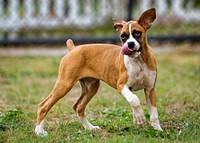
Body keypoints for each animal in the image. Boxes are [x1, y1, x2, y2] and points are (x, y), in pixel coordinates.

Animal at [35, 7, 162, 136]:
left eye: (137, 33)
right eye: (123, 36)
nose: (130, 44)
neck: (139, 60)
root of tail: (74, 48)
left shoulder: (150, 89)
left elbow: (154, 112)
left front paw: (157, 129)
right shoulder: (122, 86)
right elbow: (134, 99)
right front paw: (139, 119)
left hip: (91, 87)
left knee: (78, 107)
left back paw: (89, 128)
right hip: (64, 84)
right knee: (43, 105)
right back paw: (39, 131)